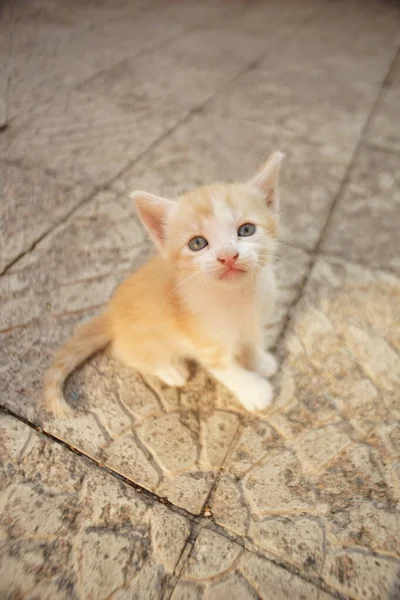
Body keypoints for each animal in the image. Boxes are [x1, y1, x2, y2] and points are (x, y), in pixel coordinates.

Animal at [45, 152, 284, 418]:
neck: (237, 296)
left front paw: (259, 362)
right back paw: (171, 370)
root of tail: (111, 313)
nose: (228, 256)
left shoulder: (253, 321)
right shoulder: (205, 341)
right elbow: (228, 369)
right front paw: (254, 391)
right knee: (125, 352)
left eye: (247, 229)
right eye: (197, 243)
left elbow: (250, 343)